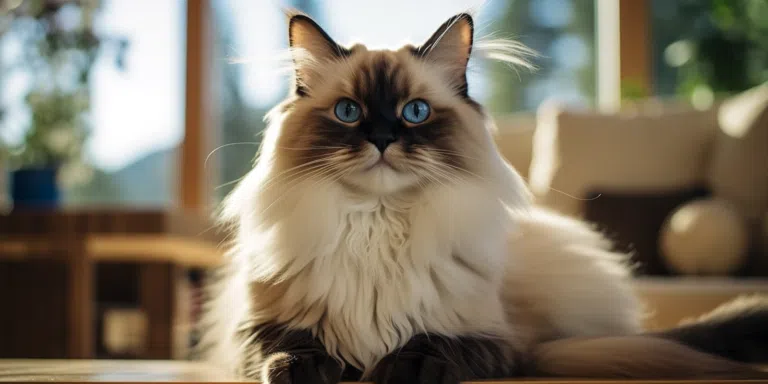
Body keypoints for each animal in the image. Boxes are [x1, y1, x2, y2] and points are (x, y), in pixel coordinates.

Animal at [200, 10, 768, 382]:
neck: (378, 224)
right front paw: (311, 369)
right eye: (348, 112)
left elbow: (432, 345)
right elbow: (287, 348)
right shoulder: (254, 328)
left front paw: (392, 369)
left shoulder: (498, 339)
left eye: (414, 112)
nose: (382, 138)